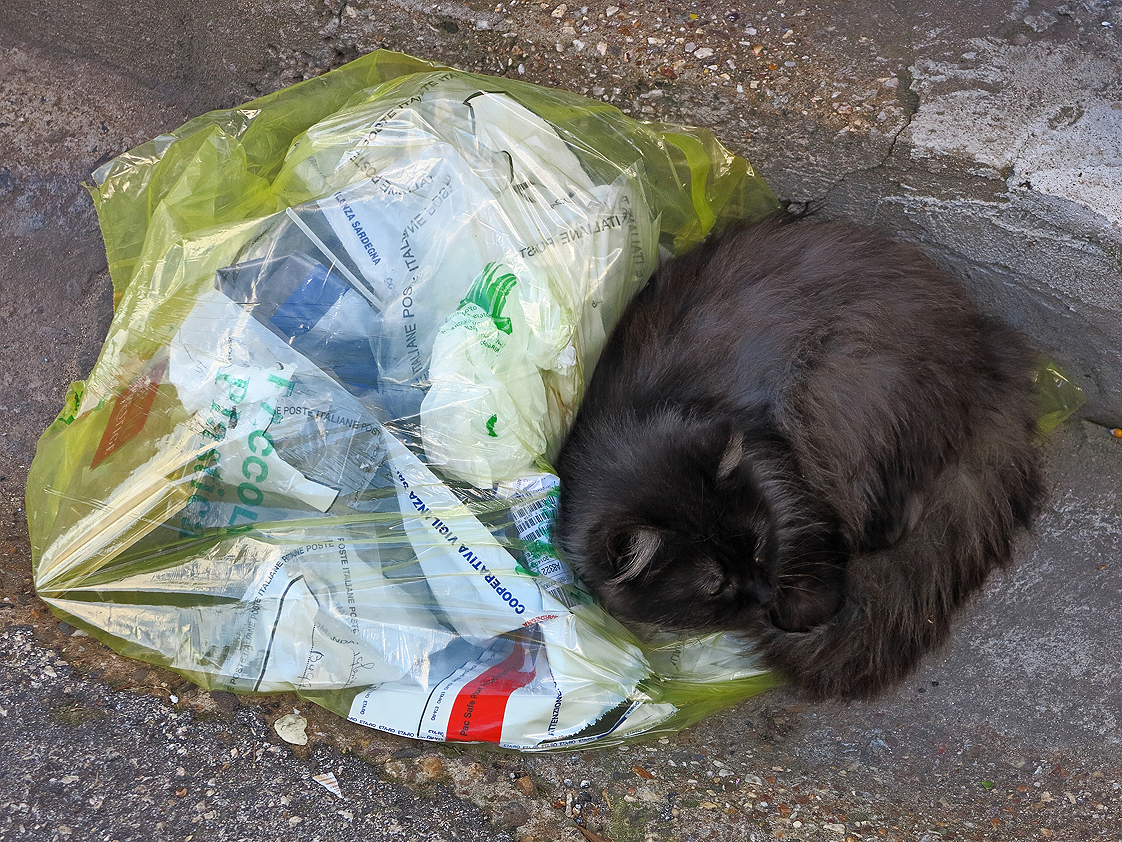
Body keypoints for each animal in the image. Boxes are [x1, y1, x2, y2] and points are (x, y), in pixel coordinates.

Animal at [552, 215, 1041, 700]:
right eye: (715, 584)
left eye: (757, 545)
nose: (765, 594)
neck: (632, 419)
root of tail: (986, 349)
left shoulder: (786, 477)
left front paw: (800, 609)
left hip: (836, 385)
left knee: (897, 515)